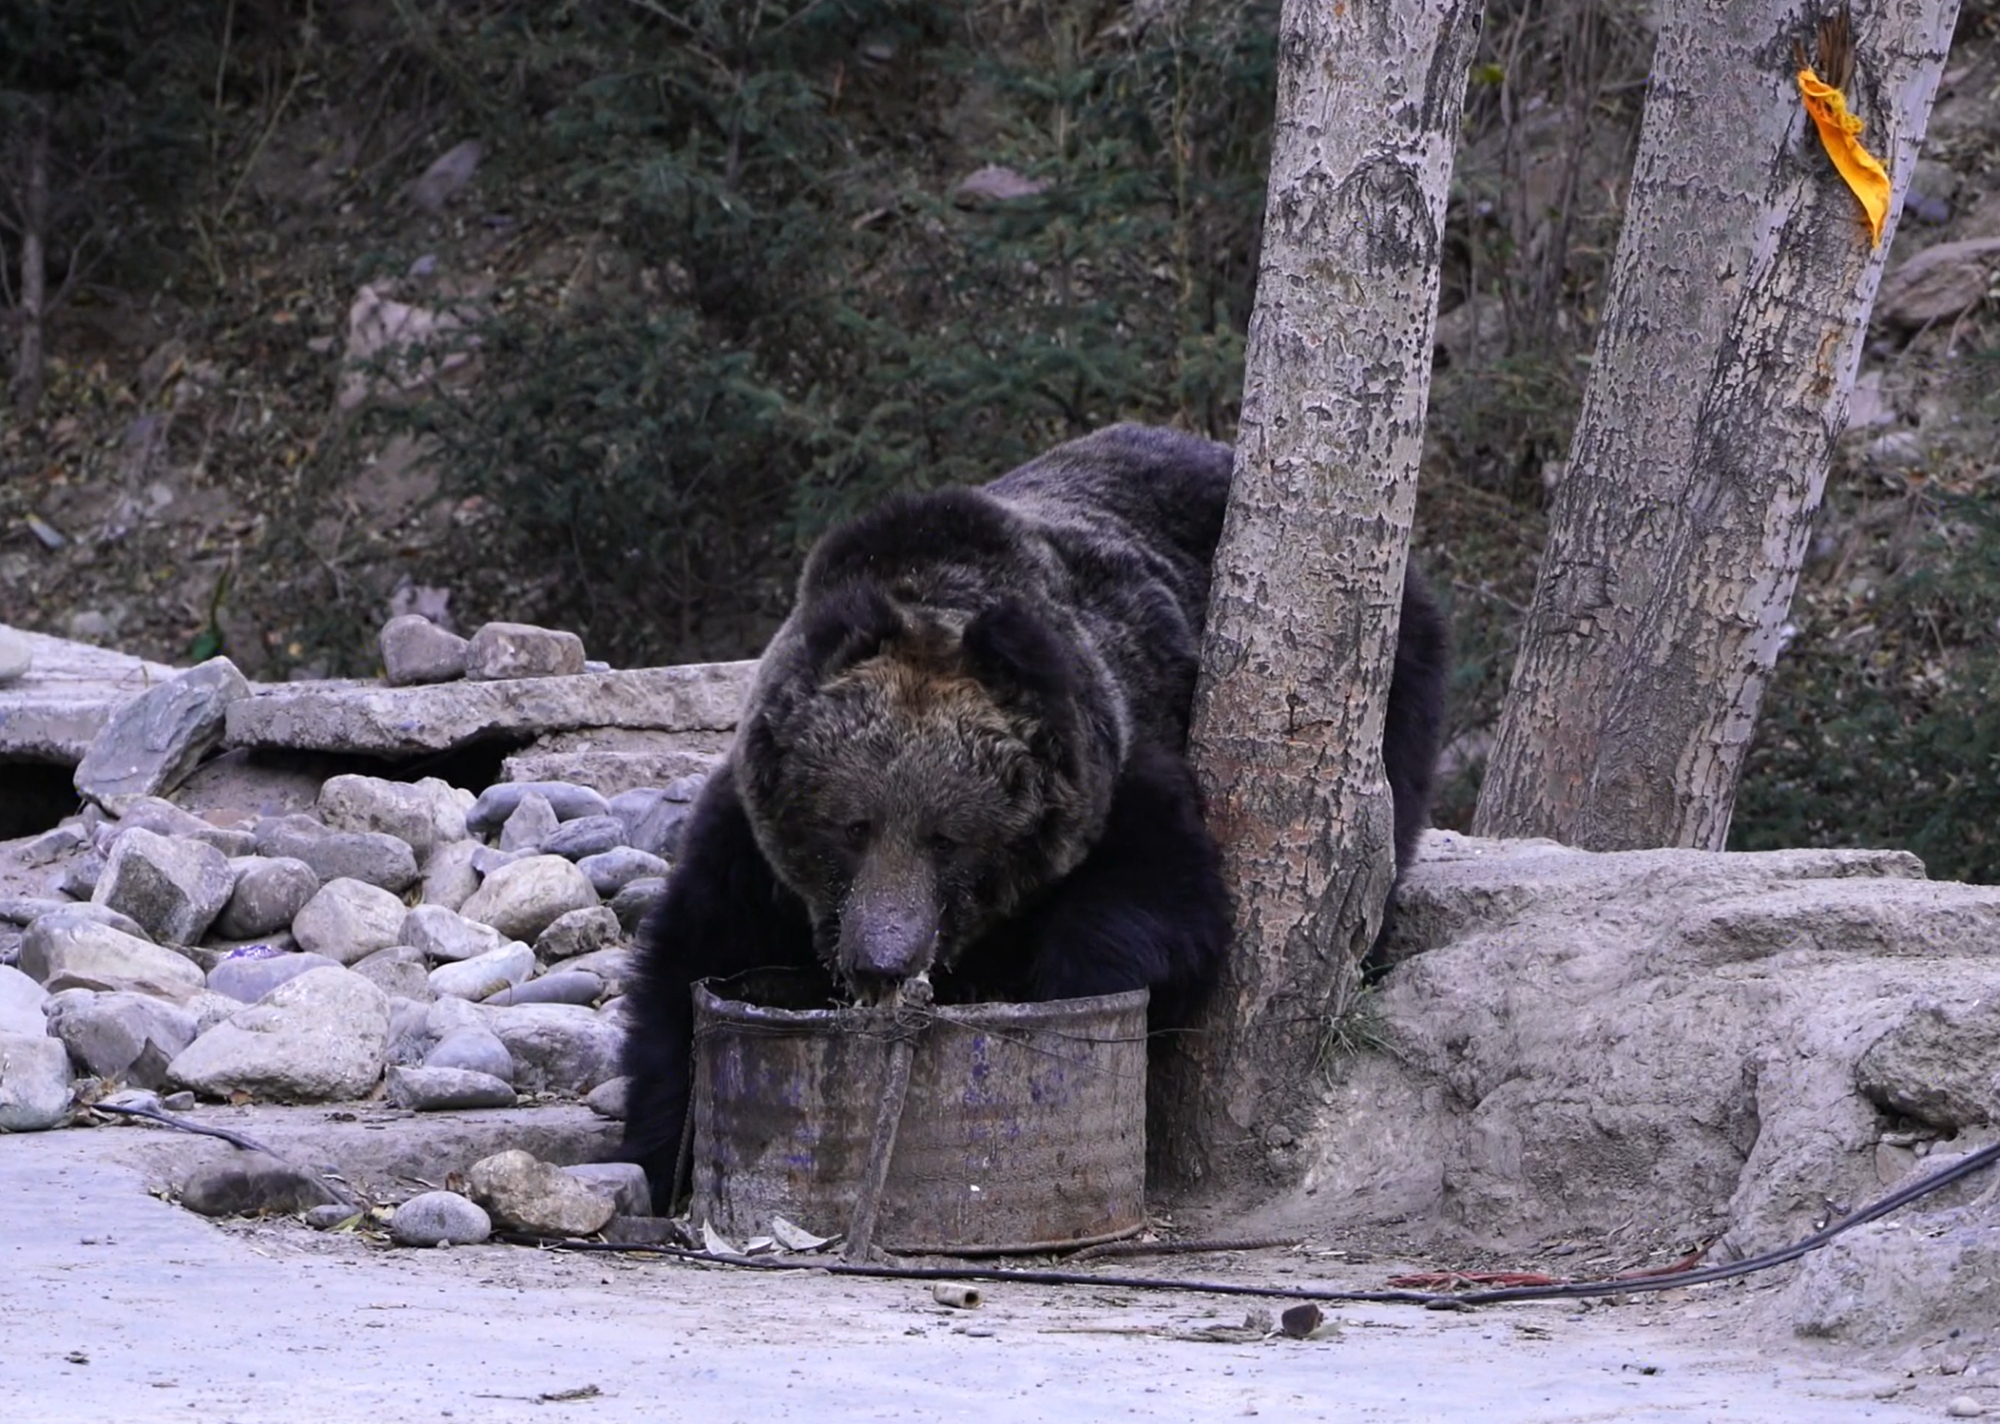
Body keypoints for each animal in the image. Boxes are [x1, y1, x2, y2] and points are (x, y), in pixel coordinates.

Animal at [616, 426, 1448, 1200]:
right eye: (850, 826)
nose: (882, 956)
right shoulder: (755, 844)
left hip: (1382, 669)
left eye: (948, 838)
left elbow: (1159, 907)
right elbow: (693, 956)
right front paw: (664, 1153)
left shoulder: (1112, 768)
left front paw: (1054, 1000)